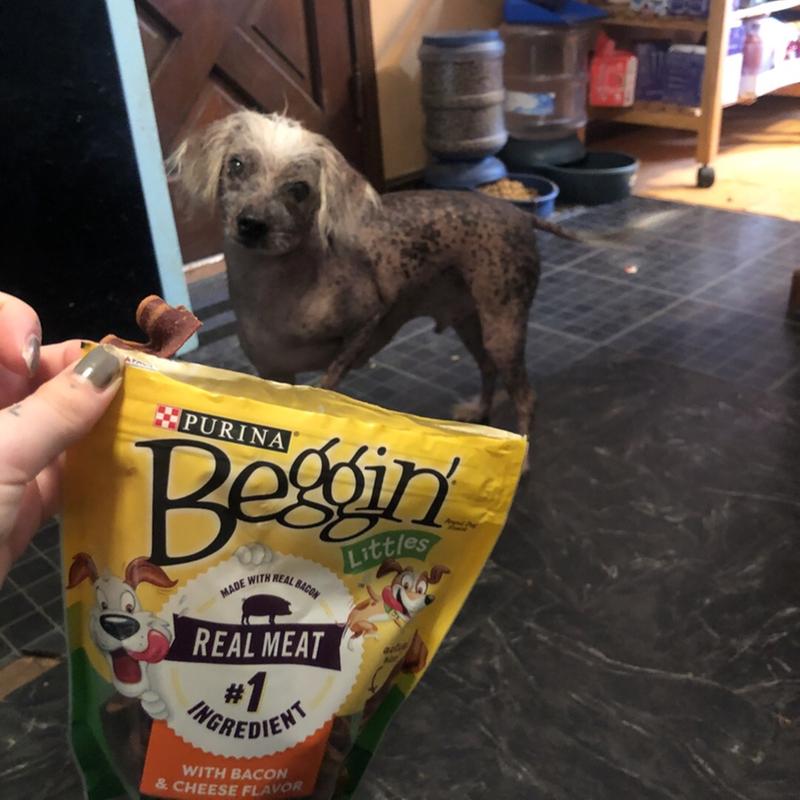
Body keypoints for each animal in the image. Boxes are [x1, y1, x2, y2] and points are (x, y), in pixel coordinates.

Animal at [169, 111, 585, 449]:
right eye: (237, 165)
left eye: (299, 189)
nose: (252, 224)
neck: (272, 290)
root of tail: (519, 215)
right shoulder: (274, 373)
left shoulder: (370, 319)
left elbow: (330, 377)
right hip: (471, 324)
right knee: (487, 369)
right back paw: (478, 413)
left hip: (504, 328)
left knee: (525, 396)